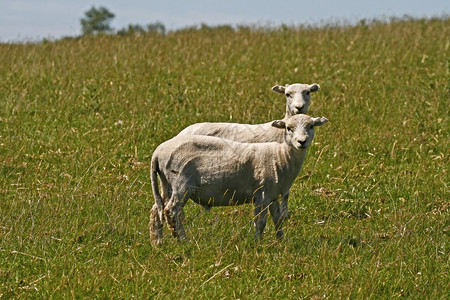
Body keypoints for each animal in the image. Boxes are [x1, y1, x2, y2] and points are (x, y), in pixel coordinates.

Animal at [149, 113, 328, 244]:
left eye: (311, 126)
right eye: (288, 128)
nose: (302, 142)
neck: (280, 156)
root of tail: (157, 152)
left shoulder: (273, 196)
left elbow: (277, 220)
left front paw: (281, 242)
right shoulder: (261, 194)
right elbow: (260, 222)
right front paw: (258, 244)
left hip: (166, 183)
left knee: (156, 210)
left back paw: (158, 242)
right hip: (180, 183)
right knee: (171, 210)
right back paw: (183, 241)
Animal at [176, 83, 320, 221]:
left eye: (307, 92)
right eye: (287, 94)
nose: (299, 107)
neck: (281, 130)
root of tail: (181, 133)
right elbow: (284, 195)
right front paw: (284, 217)